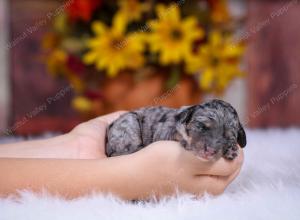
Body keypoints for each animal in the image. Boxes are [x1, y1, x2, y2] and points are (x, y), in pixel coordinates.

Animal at [105, 99, 246, 160]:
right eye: (201, 127)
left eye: (228, 137)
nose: (210, 152)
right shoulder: (164, 132)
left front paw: (231, 150)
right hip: (128, 124)